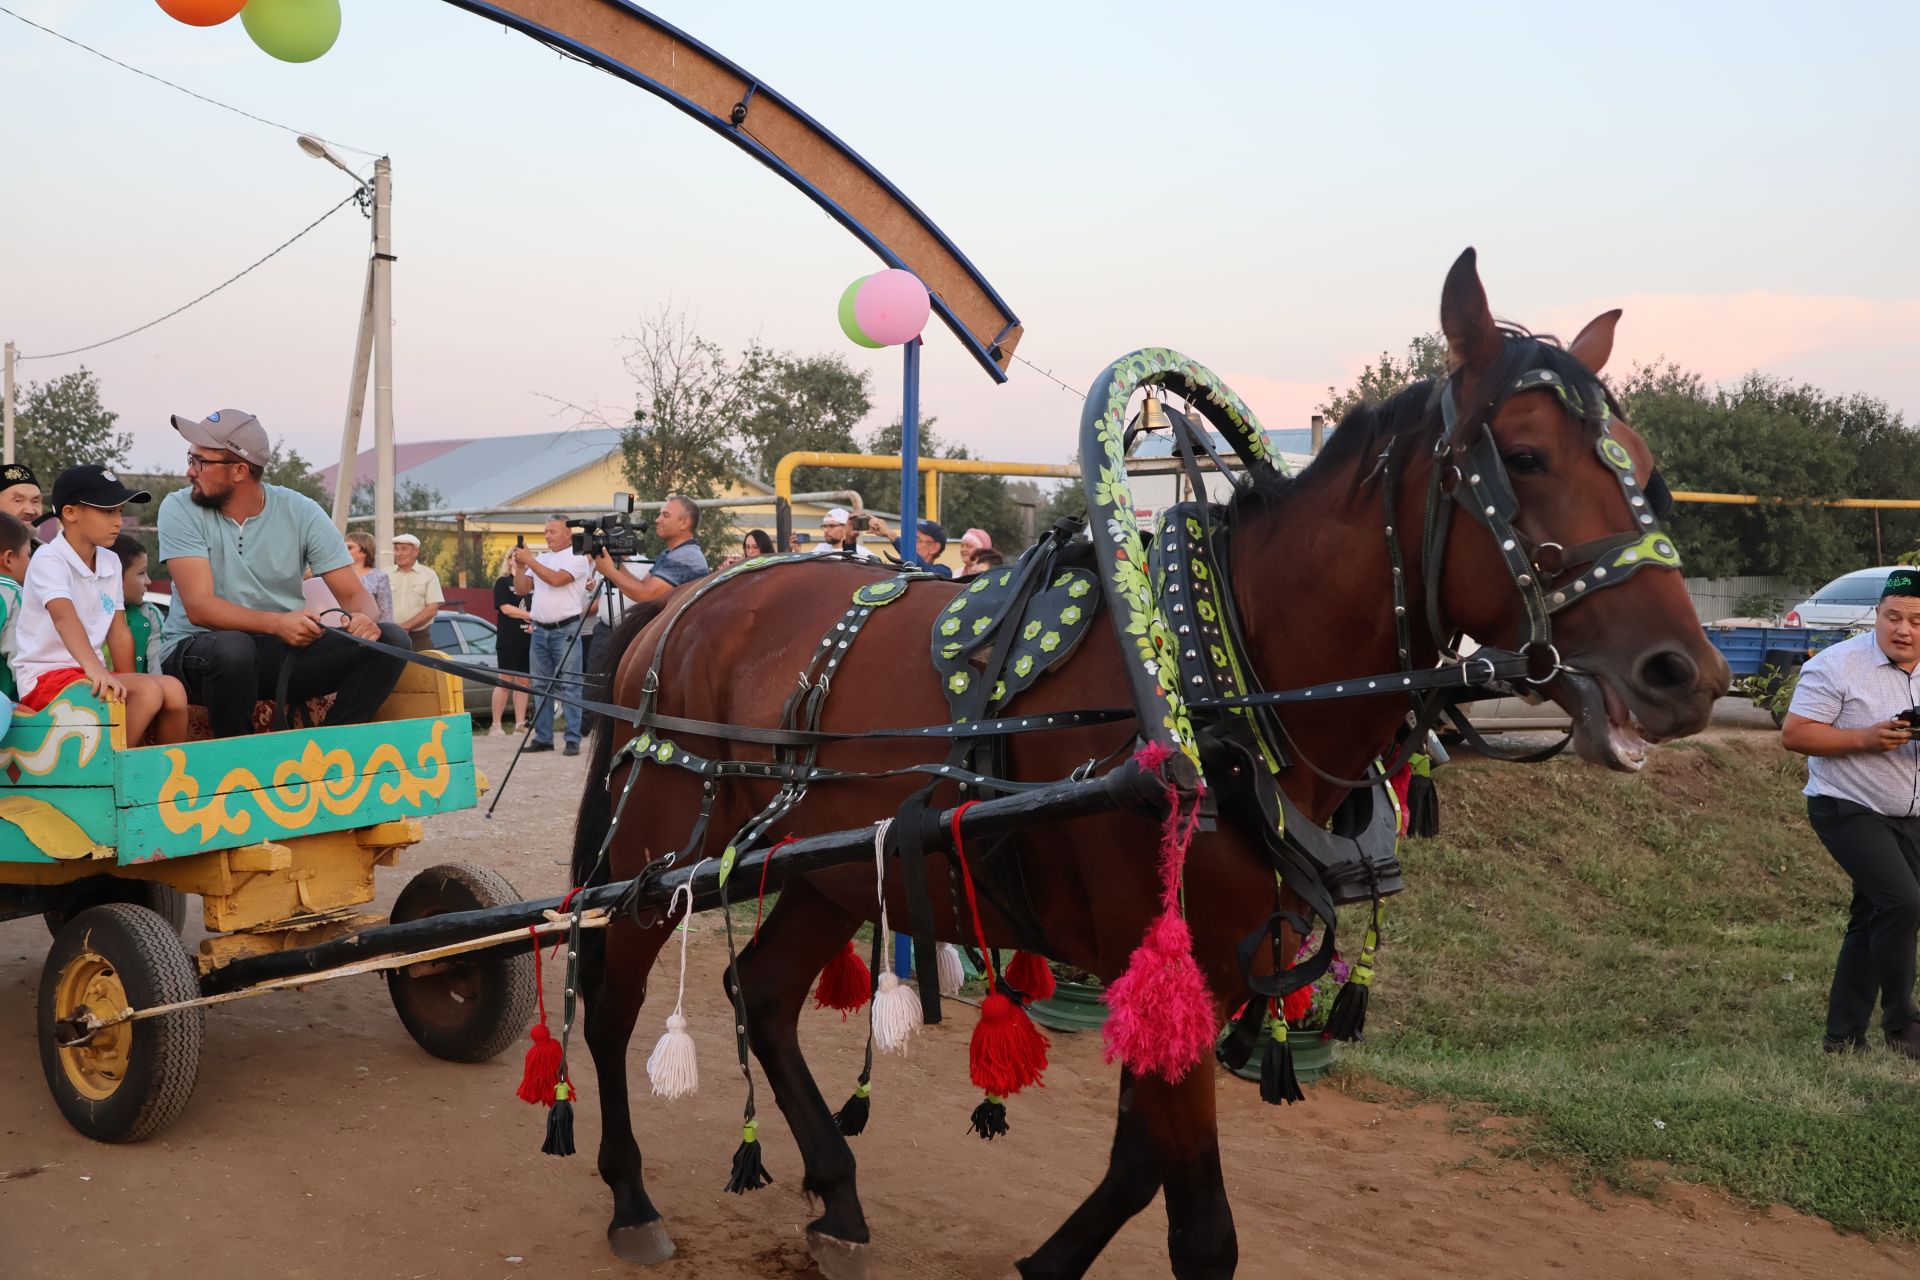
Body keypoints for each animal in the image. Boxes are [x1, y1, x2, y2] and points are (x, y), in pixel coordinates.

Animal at [560, 245, 1735, 1274]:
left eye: (1652, 475)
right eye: (1525, 456)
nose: (1687, 674)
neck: (1222, 670)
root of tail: (681, 605)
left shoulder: (1186, 971)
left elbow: (1137, 1167)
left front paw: (1046, 1262)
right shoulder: (1159, 946)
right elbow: (1201, 1227)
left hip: (832, 866)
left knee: (760, 992)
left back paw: (839, 1203)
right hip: (660, 852)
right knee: (612, 1004)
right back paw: (629, 1196)